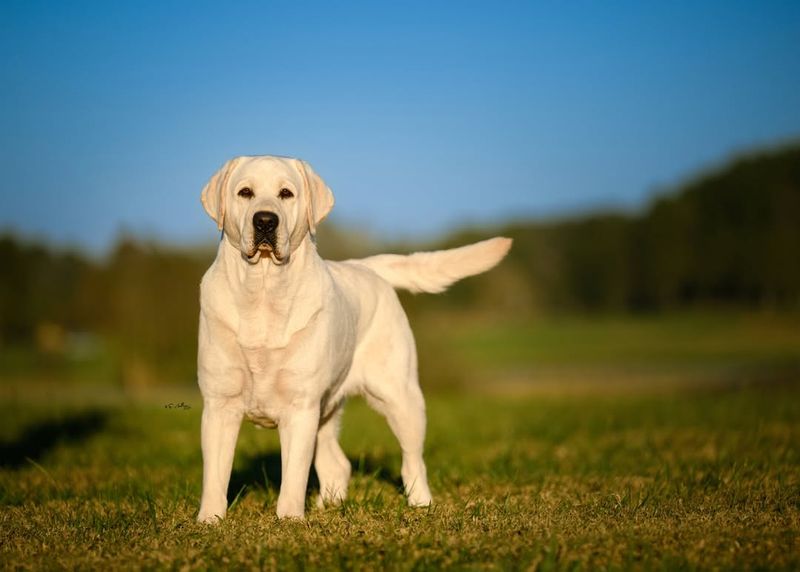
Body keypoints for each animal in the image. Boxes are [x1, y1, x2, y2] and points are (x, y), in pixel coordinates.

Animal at [197, 155, 510, 524]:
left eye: (286, 193)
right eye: (245, 192)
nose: (265, 220)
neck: (263, 292)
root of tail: (366, 266)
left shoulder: (301, 407)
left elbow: (293, 477)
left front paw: (290, 521)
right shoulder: (220, 405)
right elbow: (216, 476)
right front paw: (209, 521)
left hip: (400, 397)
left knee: (412, 461)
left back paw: (421, 505)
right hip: (328, 412)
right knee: (338, 464)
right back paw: (328, 506)